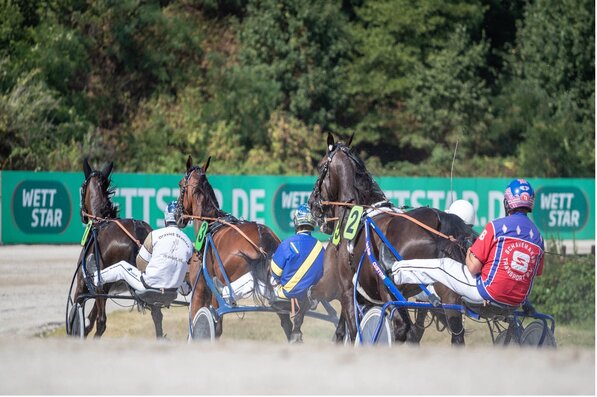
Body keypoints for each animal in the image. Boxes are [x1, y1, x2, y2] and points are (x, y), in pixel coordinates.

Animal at [175, 156, 308, 342]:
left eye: (180, 184)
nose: (177, 215)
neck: (209, 224)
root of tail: (262, 236)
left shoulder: (201, 289)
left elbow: (197, 323)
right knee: (287, 323)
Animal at [308, 133, 474, 344]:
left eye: (320, 166)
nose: (311, 202)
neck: (359, 209)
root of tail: (437, 220)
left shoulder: (347, 289)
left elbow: (354, 331)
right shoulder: (367, 295)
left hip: (390, 288)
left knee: (402, 328)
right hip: (446, 291)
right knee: (455, 333)